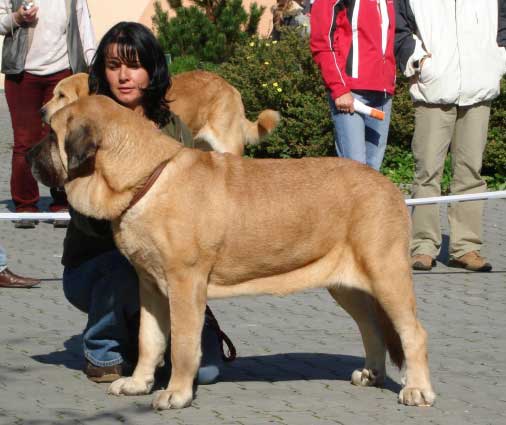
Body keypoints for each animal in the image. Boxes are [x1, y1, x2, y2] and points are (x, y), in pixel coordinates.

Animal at [27, 95, 434, 408]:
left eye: (51, 133)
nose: (29, 153)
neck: (145, 176)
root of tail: (390, 187)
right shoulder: (151, 287)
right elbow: (149, 340)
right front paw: (139, 383)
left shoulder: (184, 284)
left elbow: (183, 344)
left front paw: (175, 394)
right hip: (347, 286)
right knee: (372, 328)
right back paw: (372, 373)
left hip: (386, 275)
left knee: (413, 332)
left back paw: (417, 389)